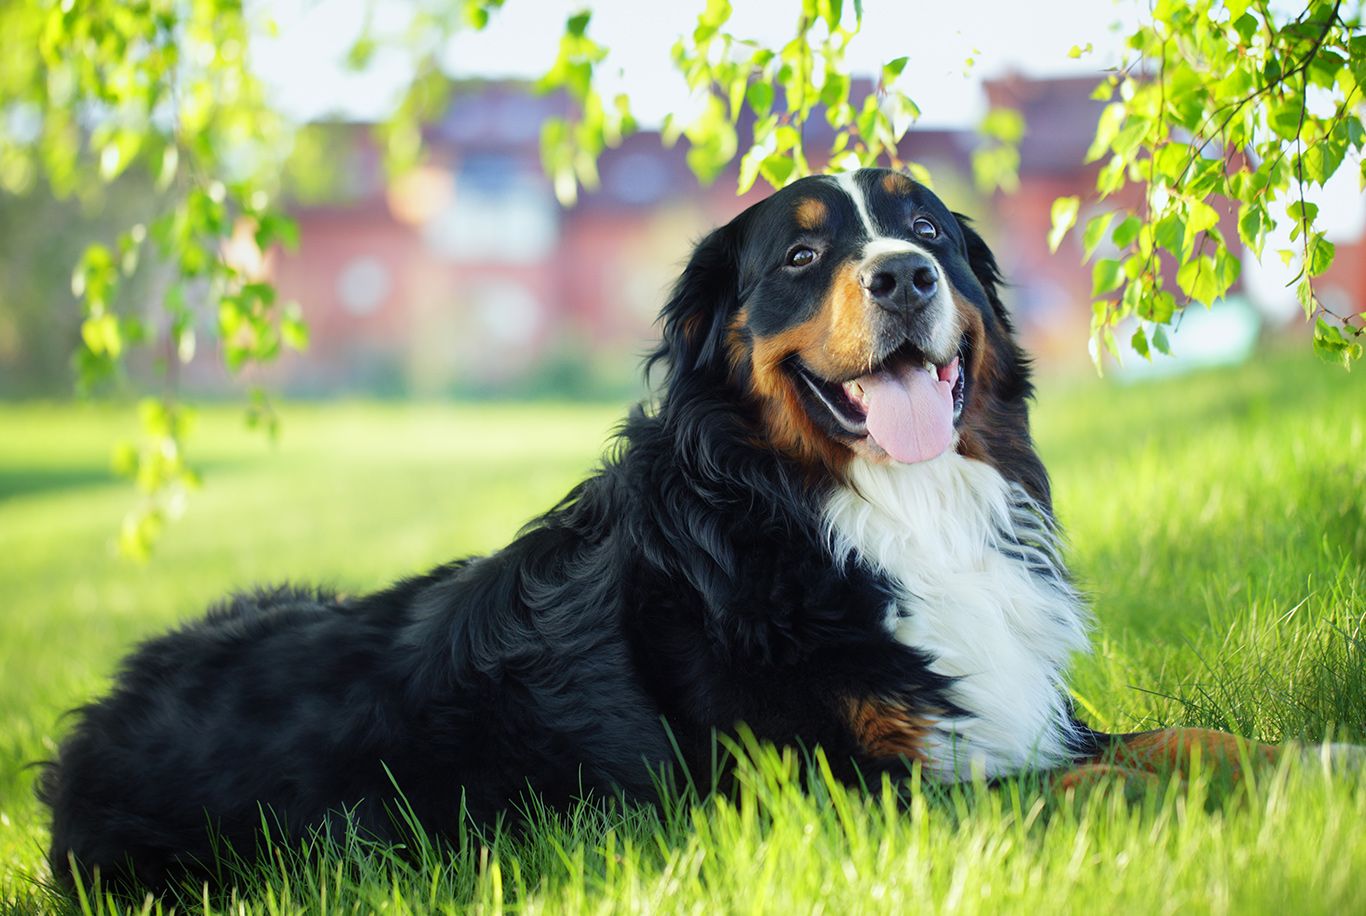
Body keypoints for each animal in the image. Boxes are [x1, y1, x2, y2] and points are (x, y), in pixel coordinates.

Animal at [39, 168, 1322, 890]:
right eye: (801, 253)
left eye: (929, 233)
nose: (904, 275)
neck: (869, 513)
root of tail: (87, 732)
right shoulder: (843, 795)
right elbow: (1092, 788)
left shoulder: (1014, 711)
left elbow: (1188, 740)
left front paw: (1312, 761)